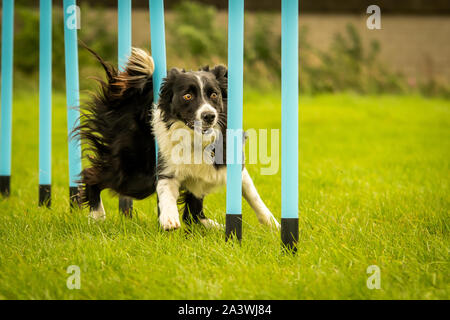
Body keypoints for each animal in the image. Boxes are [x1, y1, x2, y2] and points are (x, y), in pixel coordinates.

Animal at [79, 47, 280, 230]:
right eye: (187, 96)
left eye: (214, 94)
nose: (209, 116)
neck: (196, 140)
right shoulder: (166, 167)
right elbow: (166, 190)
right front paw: (168, 218)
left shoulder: (230, 165)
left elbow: (253, 195)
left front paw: (272, 224)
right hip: (136, 177)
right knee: (91, 175)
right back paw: (97, 215)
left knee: (194, 214)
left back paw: (216, 227)